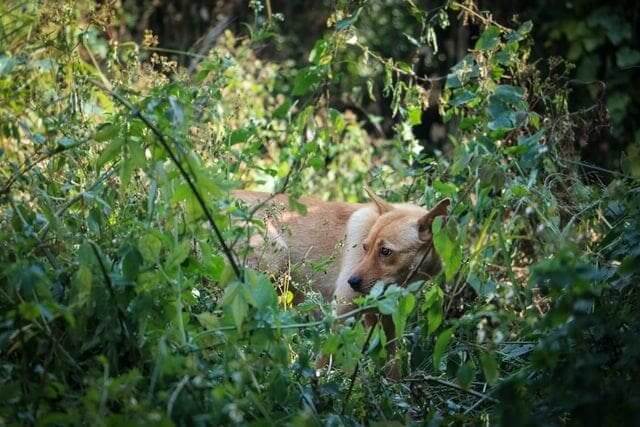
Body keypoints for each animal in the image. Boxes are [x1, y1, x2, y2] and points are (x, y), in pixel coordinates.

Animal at [232, 189, 448, 376]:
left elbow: (391, 367)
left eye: (385, 252)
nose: (352, 281)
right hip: (273, 260)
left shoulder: (384, 320)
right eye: (365, 247)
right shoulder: (342, 312)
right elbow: (323, 361)